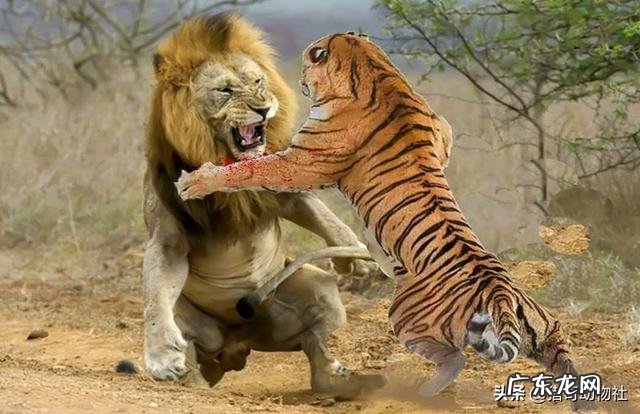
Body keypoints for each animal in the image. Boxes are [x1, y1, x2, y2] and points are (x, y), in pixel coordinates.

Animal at [175, 33, 595, 411]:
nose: (298, 80)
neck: (374, 67)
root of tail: (502, 295)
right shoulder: (441, 129)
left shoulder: (303, 161)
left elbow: (251, 169)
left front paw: (195, 181)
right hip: (547, 331)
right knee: (566, 361)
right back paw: (585, 400)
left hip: (405, 316)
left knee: (454, 357)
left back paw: (424, 392)